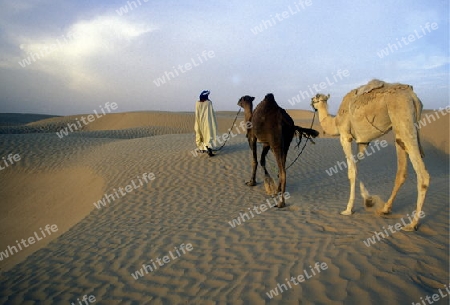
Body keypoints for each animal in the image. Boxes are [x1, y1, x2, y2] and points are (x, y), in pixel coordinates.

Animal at [312, 79, 430, 229]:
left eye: (315, 98)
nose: (311, 102)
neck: (335, 121)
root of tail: (413, 97)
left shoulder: (345, 136)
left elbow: (351, 171)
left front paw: (348, 209)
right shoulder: (363, 142)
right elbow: (357, 168)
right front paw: (369, 200)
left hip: (404, 119)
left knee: (422, 174)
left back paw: (412, 224)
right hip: (400, 130)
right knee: (402, 171)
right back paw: (385, 209)